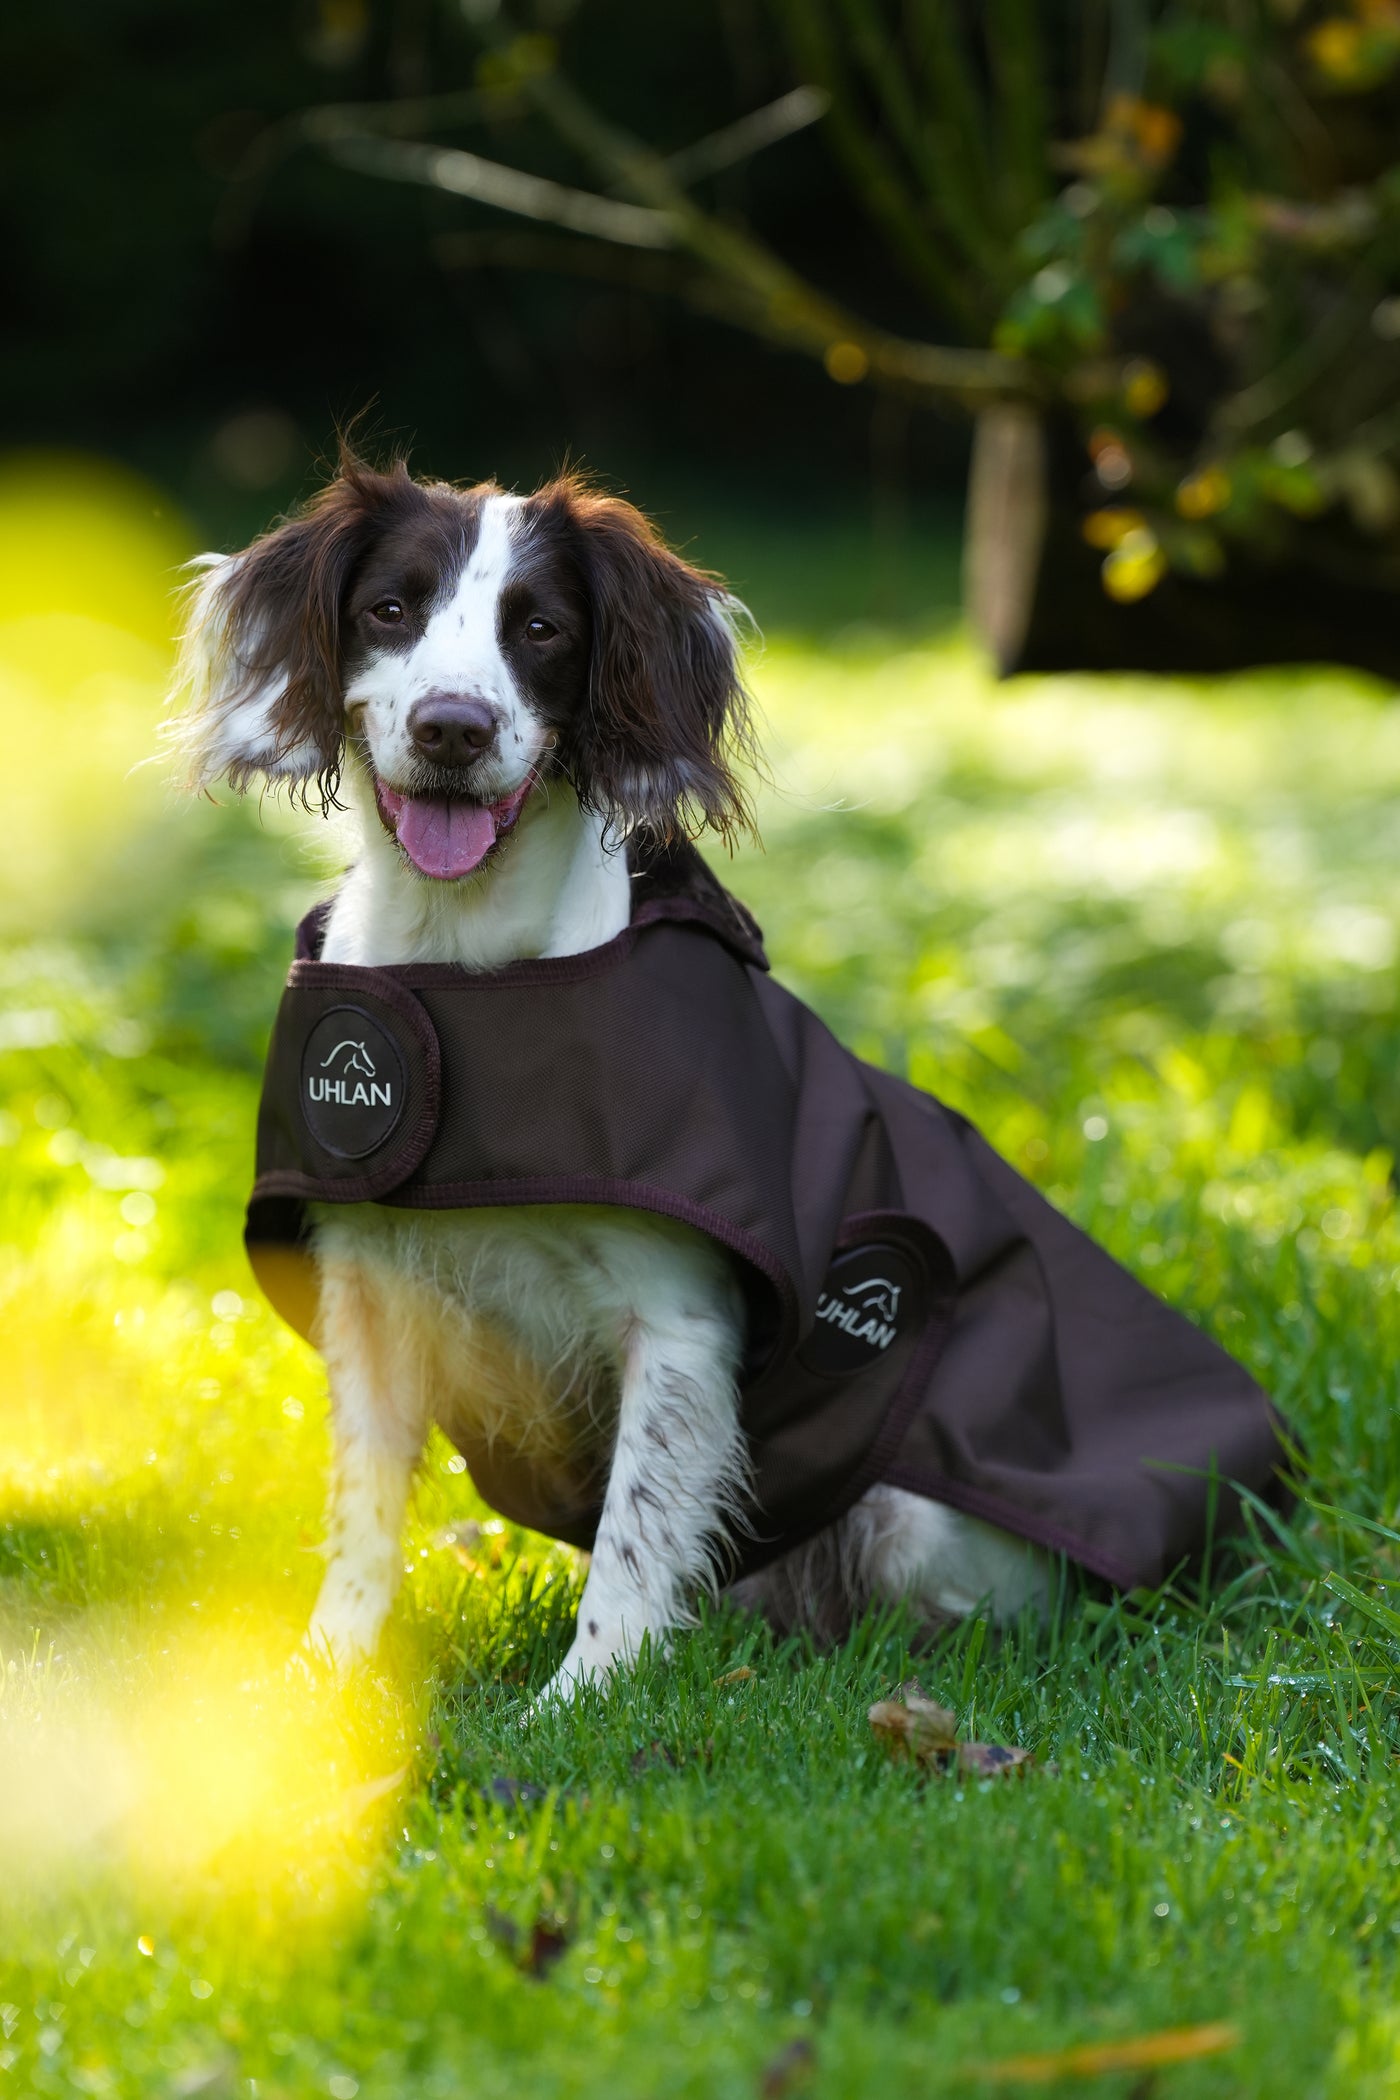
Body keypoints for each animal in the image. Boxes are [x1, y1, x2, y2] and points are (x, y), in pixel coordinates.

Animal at [175, 451, 1045, 1696]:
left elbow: (636, 1538)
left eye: (539, 628)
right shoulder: (369, 1296)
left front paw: (579, 1701)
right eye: (389, 609)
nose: (452, 727)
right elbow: (361, 1516)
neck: (465, 968)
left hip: (913, 1514)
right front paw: (327, 1678)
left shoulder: (677, 1324)